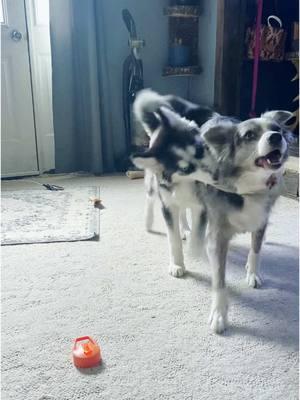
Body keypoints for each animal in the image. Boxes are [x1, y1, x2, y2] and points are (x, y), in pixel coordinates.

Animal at [131, 89, 290, 332]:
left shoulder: (259, 219)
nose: (276, 137)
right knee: (156, 201)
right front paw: (219, 314)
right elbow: (216, 276)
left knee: (187, 212)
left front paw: (252, 272)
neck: (247, 188)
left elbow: (255, 250)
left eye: (277, 128)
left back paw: (188, 231)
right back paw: (153, 224)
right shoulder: (217, 234)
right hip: (162, 187)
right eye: (249, 135)